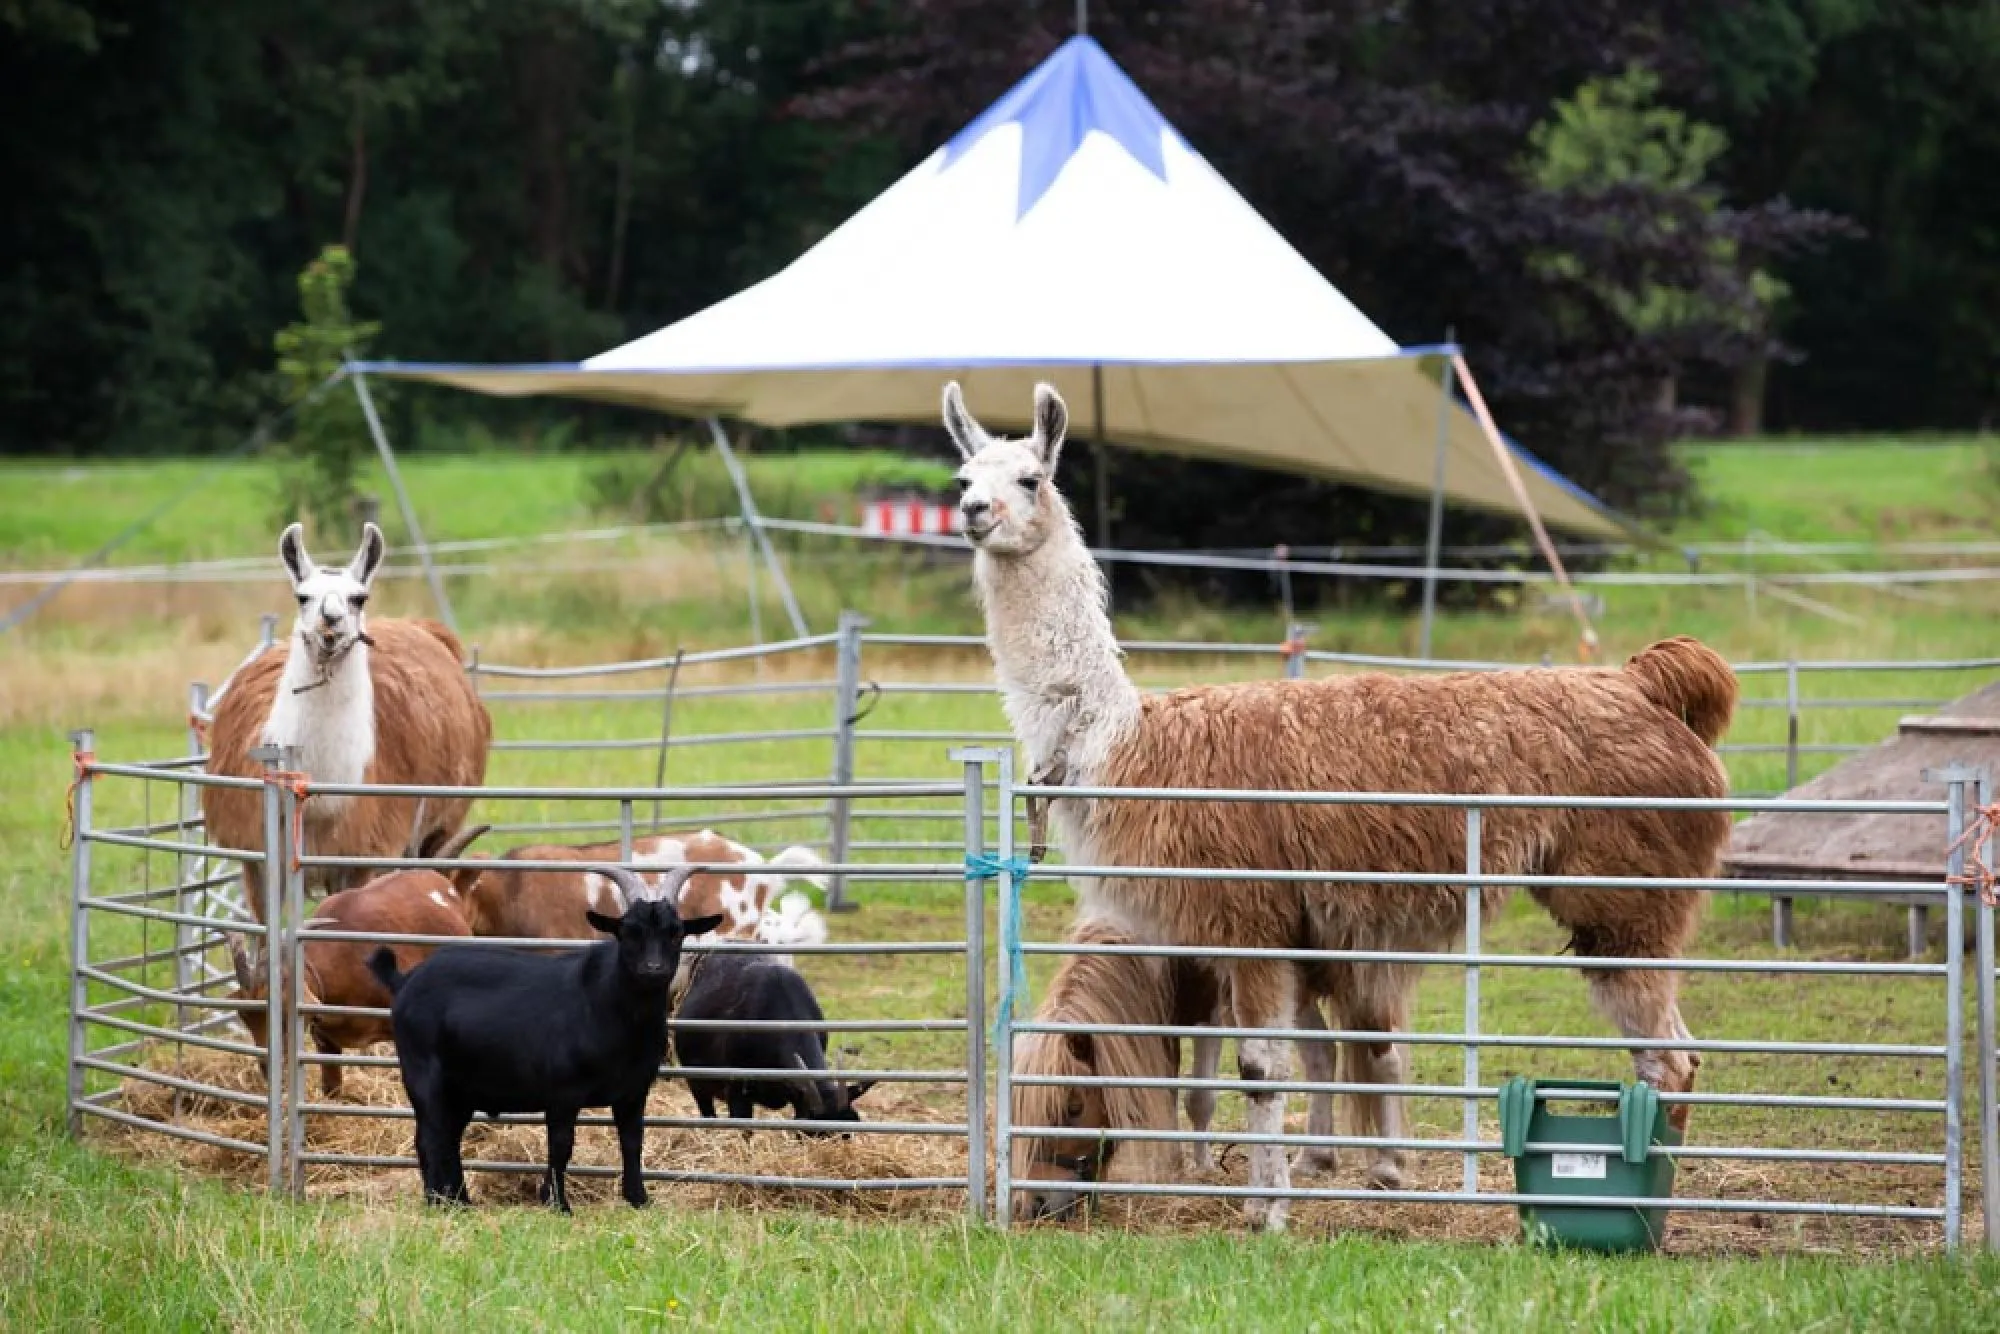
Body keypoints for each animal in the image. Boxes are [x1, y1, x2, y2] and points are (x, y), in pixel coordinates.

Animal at [200, 528, 492, 924]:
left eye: (359, 597)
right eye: (303, 596)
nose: (331, 620)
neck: (314, 799)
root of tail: (418, 625)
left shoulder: (358, 855)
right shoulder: (257, 854)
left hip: (439, 823)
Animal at [228, 824, 488, 1096]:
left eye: (284, 1014)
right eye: (245, 1016)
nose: (268, 1069)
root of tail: (444, 882)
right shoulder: (324, 1039)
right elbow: (332, 1087)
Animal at [372, 860, 724, 1216]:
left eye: (676, 932)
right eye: (628, 931)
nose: (653, 969)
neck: (610, 1008)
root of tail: (404, 980)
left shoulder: (634, 1092)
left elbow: (632, 1142)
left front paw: (638, 1199)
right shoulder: (563, 1093)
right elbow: (561, 1145)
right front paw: (558, 1203)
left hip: (461, 1091)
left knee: (448, 1136)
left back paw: (460, 1201)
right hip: (423, 1075)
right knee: (430, 1136)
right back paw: (437, 1202)